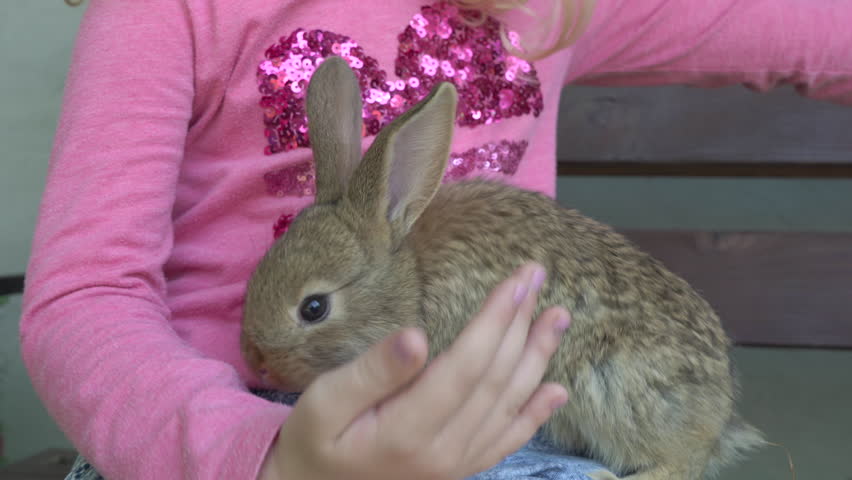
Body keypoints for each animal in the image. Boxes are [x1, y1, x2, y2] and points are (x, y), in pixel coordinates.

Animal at [240, 56, 766, 480]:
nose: (254, 359)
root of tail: (719, 414)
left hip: (617, 392)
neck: (411, 280)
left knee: (680, 462)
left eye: (313, 308)